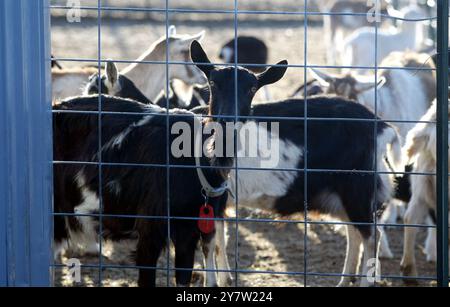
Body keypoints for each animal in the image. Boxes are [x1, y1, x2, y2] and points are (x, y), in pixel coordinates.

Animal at [190, 39, 398, 288]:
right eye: (212, 82)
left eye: (252, 89)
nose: (227, 119)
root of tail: (382, 127)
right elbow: (220, 241)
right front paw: (227, 279)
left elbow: (210, 244)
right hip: (343, 195)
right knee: (355, 234)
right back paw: (344, 281)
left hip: (358, 189)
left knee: (371, 237)